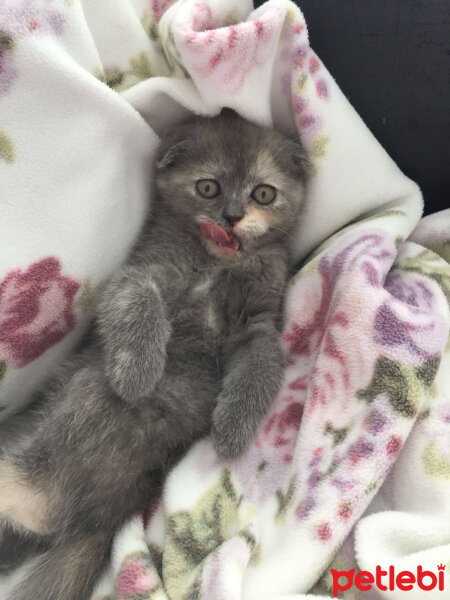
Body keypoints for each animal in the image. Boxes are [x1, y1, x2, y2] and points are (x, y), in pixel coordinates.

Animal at [0, 109, 308, 600]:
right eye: (208, 187)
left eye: (264, 193)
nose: (233, 216)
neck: (218, 262)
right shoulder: (143, 272)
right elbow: (137, 301)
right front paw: (137, 374)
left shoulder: (260, 324)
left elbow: (261, 367)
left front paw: (232, 432)